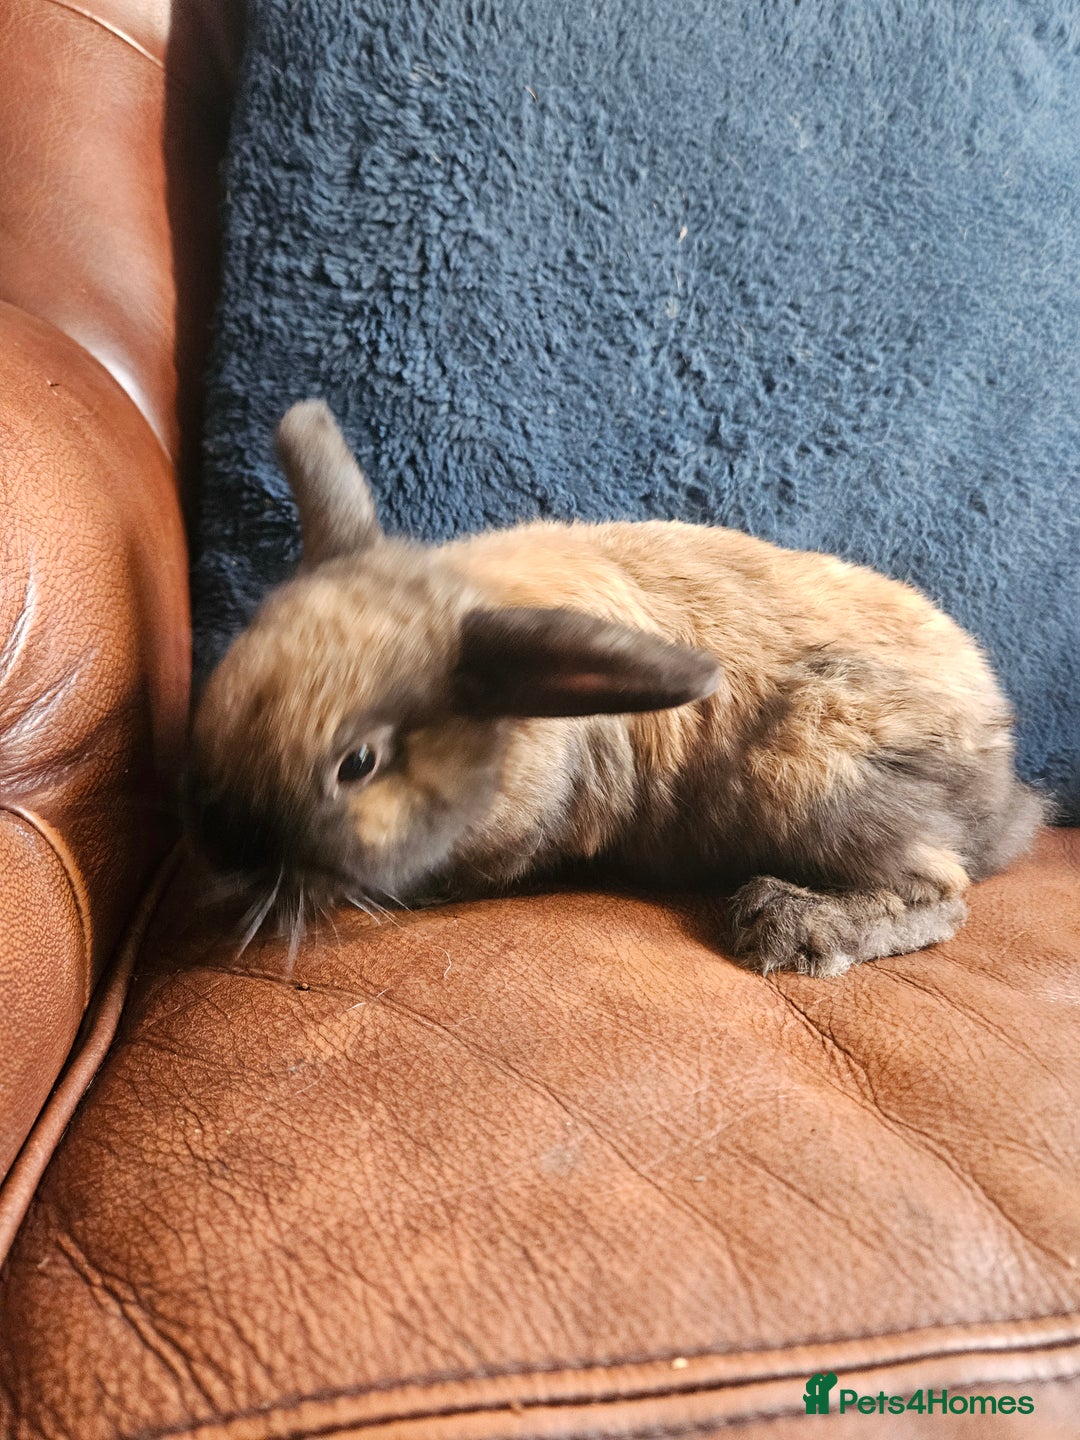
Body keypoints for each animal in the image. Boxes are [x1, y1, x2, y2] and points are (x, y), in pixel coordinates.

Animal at [186, 399, 1047, 976]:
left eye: (357, 764)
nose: (219, 850)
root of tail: (1004, 778)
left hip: (813, 774)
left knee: (942, 892)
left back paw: (788, 923)